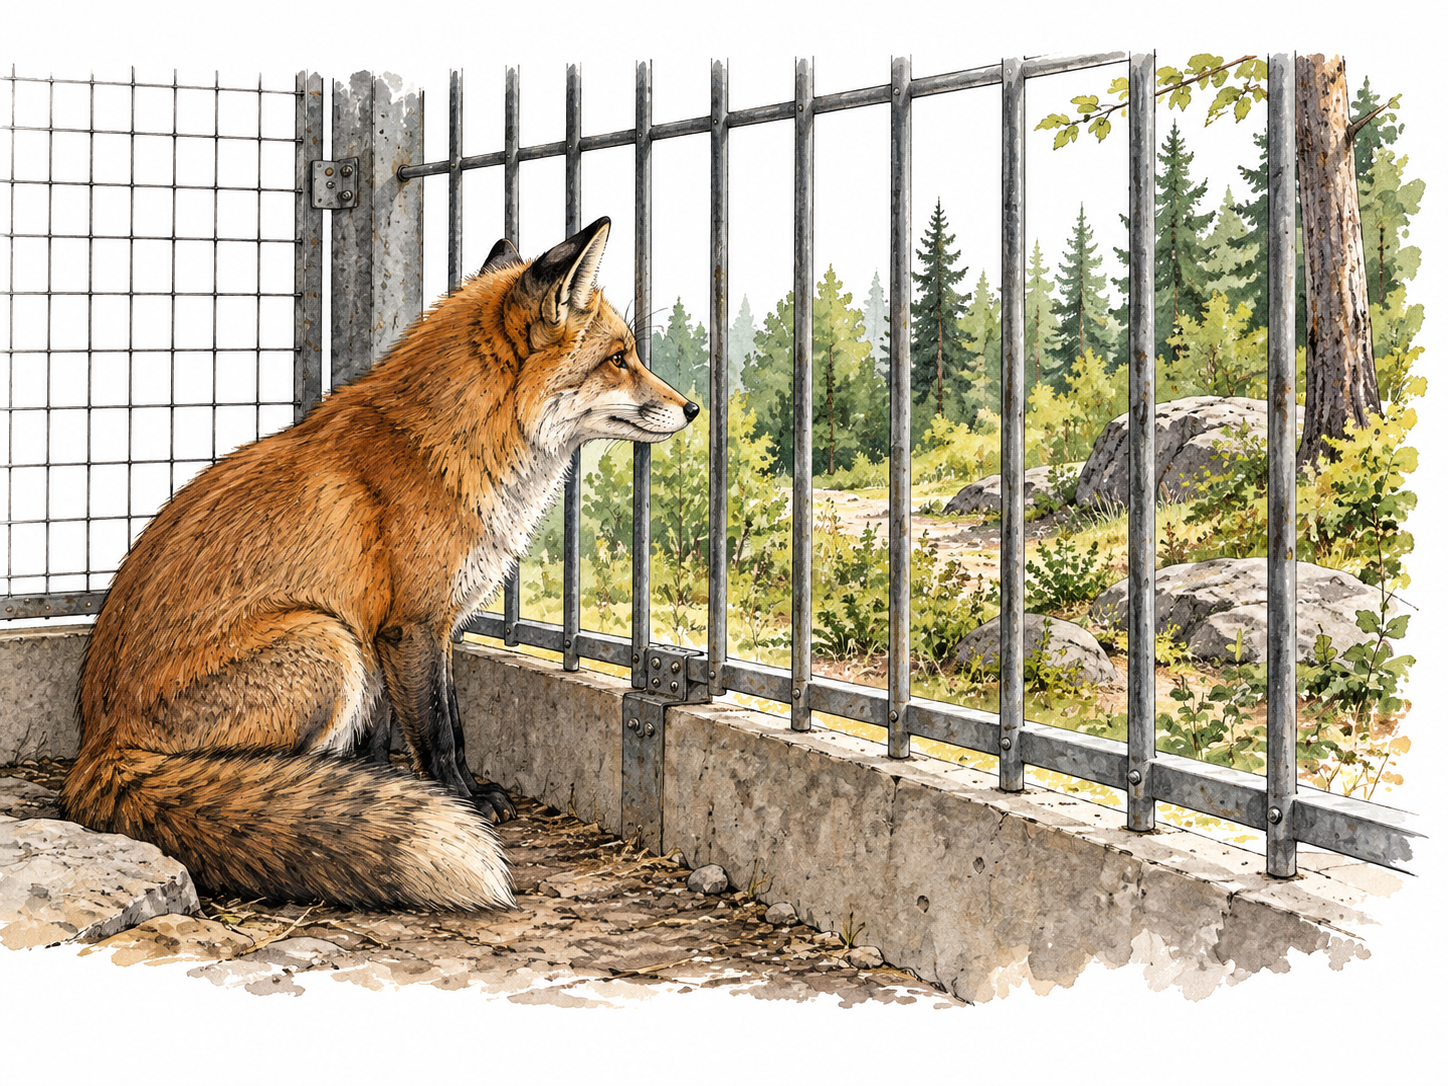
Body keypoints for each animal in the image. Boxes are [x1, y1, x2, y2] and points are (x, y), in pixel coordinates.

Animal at [61, 216, 697, 911]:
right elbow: (439, 734)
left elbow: (438, 725)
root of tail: (96, 750)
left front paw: (428, 789)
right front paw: (460, 802)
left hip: (346, 649)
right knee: (245, 770)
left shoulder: (423, 630)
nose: (693, 408)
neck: (452, 448)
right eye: (619, 358)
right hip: (327, 642)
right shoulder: (409, 626)